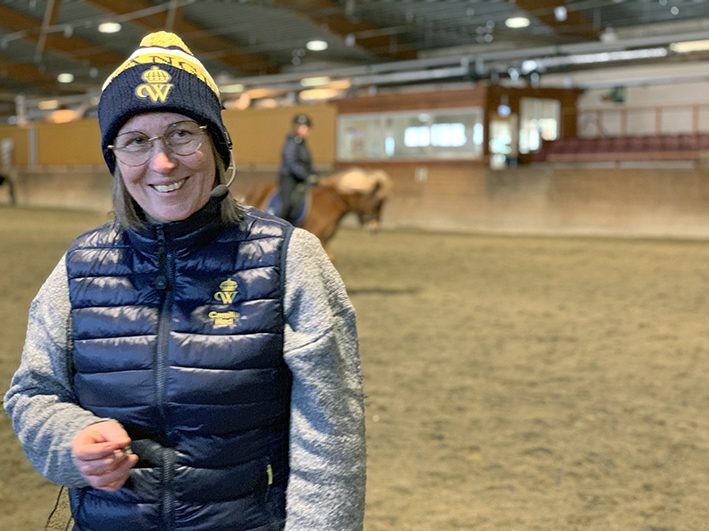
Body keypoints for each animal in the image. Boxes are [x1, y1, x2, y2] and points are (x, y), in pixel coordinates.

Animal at [241, 167, 390, 256]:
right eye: (377, 204)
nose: (375, 228)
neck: (333, 201)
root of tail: (254, 190)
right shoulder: (320, 237)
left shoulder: (326, 239)